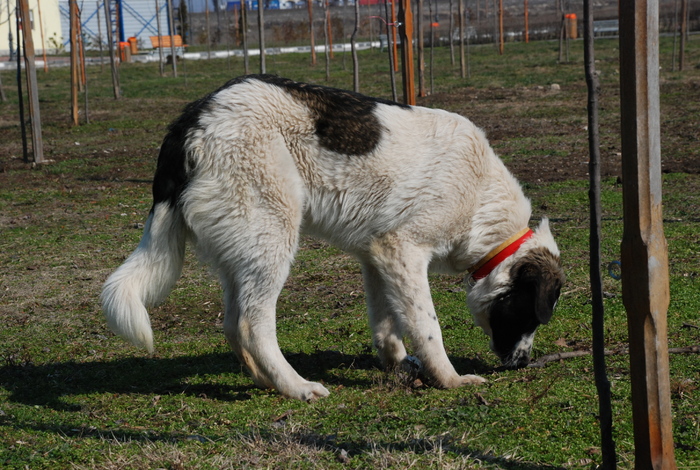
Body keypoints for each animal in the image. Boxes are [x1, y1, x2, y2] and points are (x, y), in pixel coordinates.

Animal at [101, 75, 568, 402]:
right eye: (531, 313)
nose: (523, 364)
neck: (481, 201)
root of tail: (194, 116)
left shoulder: (377, 257)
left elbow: (386, 324)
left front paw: (399, 366)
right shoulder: (404, 252)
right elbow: (427, 327)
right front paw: (450, 379)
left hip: (245, 252)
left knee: (233, 324)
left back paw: (264, 380)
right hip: (273, 239)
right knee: (253, 324)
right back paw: (297, 387)